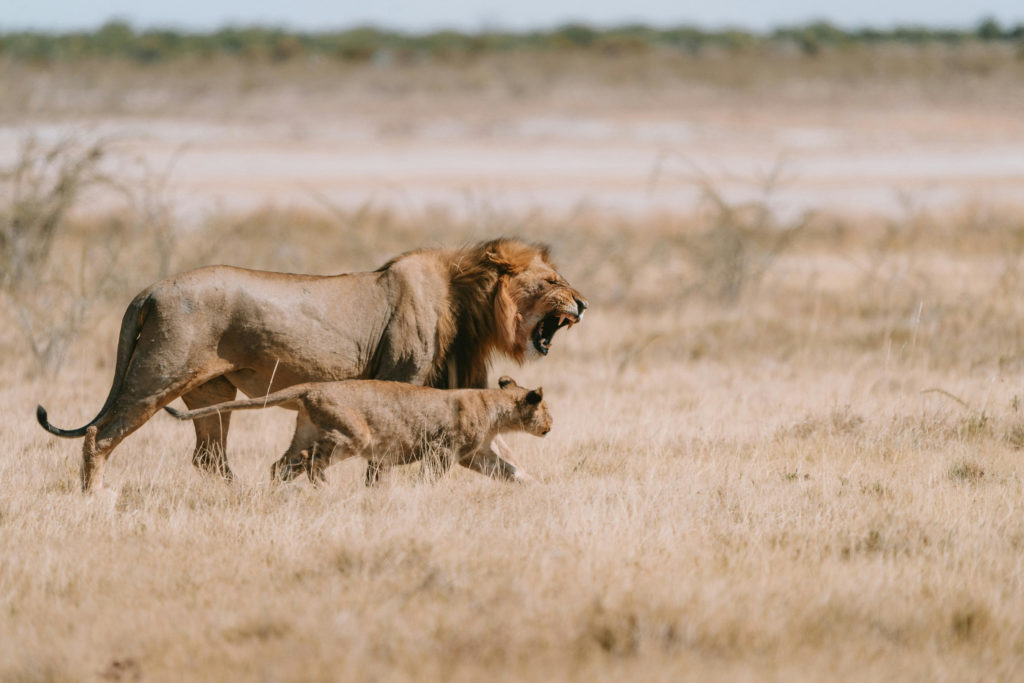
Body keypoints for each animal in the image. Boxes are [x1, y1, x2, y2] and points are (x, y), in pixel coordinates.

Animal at [161, 376, 552, 485]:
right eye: (546, 410)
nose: (551, 427)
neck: (495, 407)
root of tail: (313, 386)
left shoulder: (475, 454)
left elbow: (508, 470)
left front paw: (535, 488)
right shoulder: (444, 450)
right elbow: (428, 478)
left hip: (304, 430)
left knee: (281, 465)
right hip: (353, 433)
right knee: (315, 459)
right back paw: (322, 488)